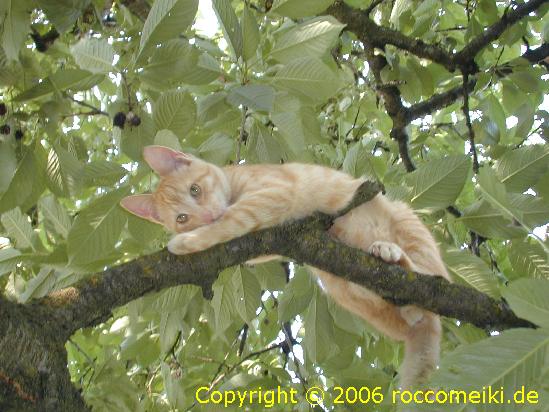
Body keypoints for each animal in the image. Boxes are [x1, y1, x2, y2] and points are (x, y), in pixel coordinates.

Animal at [120, 145, 451, 389]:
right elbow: (233, 231)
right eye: (182, 218)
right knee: (404, 309)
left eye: (195, 189)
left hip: (407, 221)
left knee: (431, 275)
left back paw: (391, 253)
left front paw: (186, 242)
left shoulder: (272, 194)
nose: (206, 216)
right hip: (339, 284)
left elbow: (230, 220)